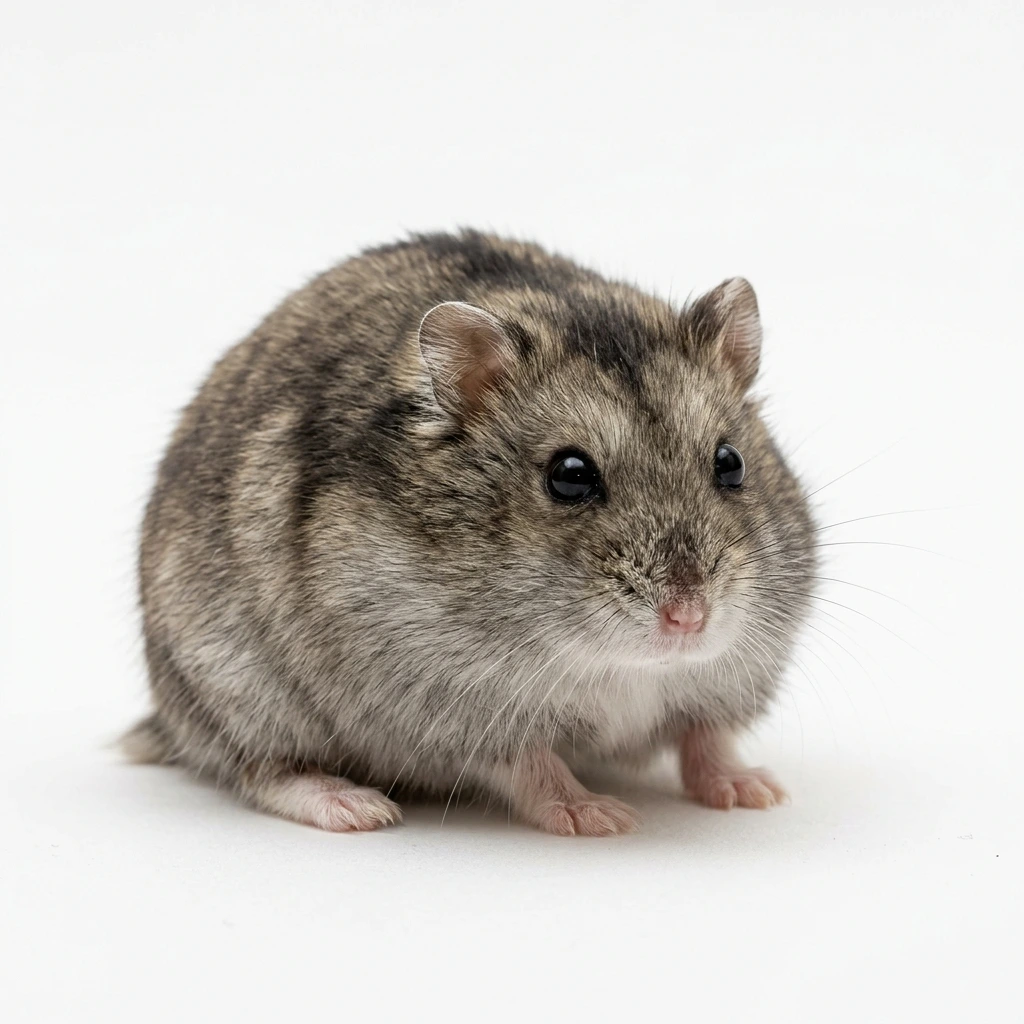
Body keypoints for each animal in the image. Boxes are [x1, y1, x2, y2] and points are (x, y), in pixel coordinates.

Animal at [123, 230, 816, 836]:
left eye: (731, 462)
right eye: (569, 476)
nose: (689, 619)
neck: (623, 667)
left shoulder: (724, 681)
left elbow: (707, 737)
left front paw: (758, 792)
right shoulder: (451, 707)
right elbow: (530, 765)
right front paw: (599, 818)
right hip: (238, 693)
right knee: (260, 768)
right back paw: (355, 807)